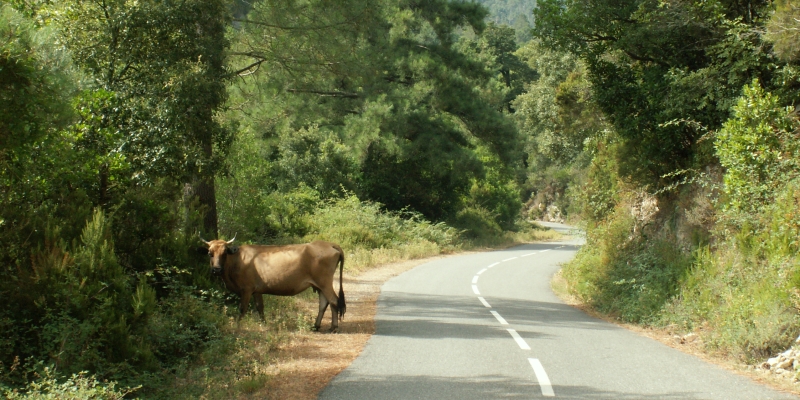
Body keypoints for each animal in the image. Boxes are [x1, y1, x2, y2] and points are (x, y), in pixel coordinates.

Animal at [198, 238, 346, 332]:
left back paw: (334, 327)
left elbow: (242, 308)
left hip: (324, 282)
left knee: (333, 301)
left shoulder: (246, 289)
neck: (238, 260)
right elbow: (260, 307)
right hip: (320, 285)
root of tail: (330, 244)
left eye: (224, 253)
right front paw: (264, 324)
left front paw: (237, 325)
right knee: (324, 303)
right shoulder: (257, 290)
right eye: (210, 253)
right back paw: (316, 326)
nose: (216, 269)